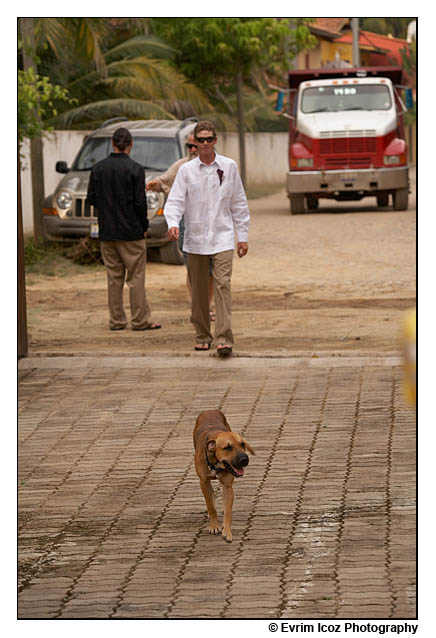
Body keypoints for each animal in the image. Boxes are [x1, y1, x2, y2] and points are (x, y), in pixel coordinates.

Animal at [192, 410, 254, 544]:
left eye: (242, 444)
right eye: (227, 447)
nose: (244, 459)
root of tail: (210, 410)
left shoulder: (228, 485)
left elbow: (228, 512)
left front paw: (227, 531)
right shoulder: (203, 482)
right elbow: (211, 506)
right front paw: (214, 525)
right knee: (211, 495)